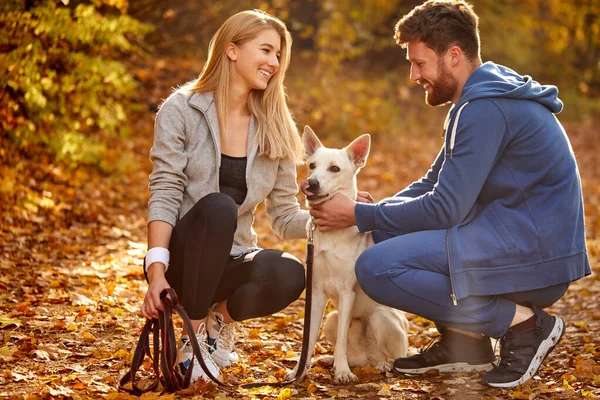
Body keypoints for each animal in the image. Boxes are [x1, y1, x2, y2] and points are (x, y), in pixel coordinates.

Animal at [288, 126, 410, 382]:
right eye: (312, 165)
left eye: (334, 169)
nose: (311, 183)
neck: (330, 235)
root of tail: (367, 361)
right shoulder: (316, 292)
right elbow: (310, 336)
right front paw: (299, 371)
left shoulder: (346, 293)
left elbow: (342, 341)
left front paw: (342, 372)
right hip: (331, 320)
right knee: (355, 355)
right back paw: (332, 360)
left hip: (380, 318)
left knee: (390, 358)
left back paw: (379, 364)